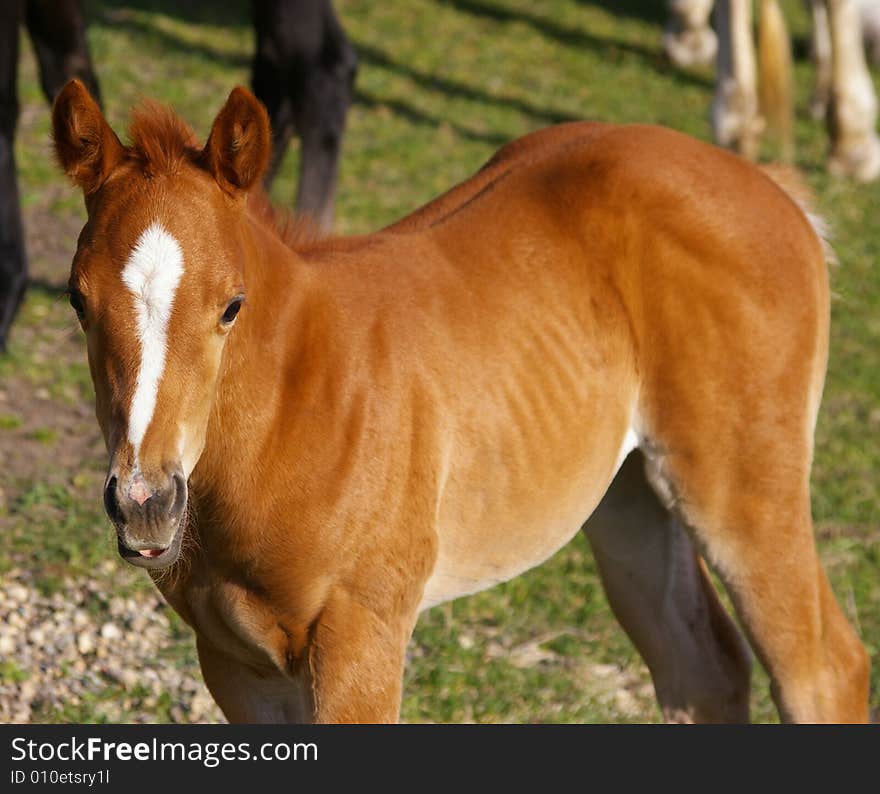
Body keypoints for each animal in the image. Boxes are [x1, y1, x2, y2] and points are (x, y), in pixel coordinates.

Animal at [51, 79, 868, 716]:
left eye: (231, 305)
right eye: (76, 300)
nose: (146, 501)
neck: (295, 409)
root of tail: (769, 185)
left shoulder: (361, 642)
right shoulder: (234, 662)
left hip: (740, 487)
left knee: (825, 670)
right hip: (628, 497)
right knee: (703, 670)